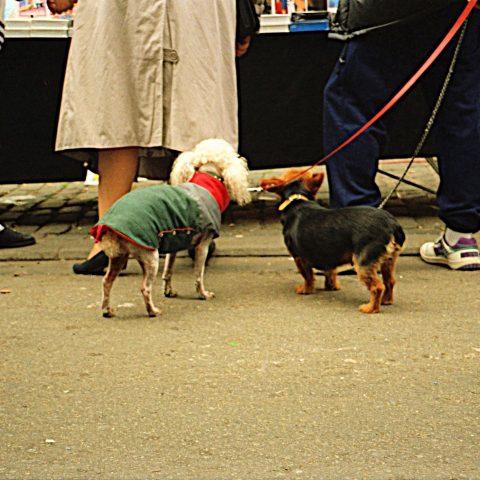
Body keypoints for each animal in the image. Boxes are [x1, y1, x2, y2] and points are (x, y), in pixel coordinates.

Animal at [260, 170, 406, 316]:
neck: (297, 200)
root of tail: (392, 225)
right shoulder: (328, 255)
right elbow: (330, 272)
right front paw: (332, 286)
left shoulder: (299, 257)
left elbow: (307, 276)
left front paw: (306, 289)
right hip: (388, 260)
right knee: (389, 281)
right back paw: (386, 301)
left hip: (363, 263)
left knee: (377, 287)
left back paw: (370, 308)